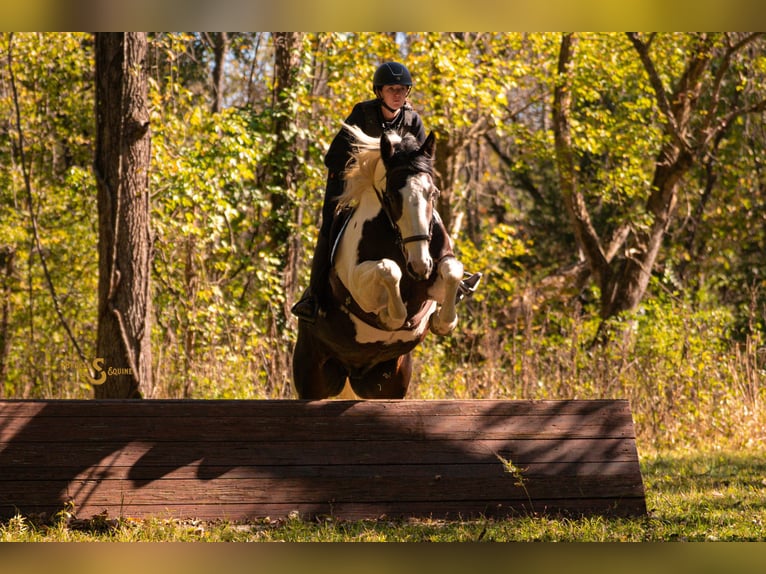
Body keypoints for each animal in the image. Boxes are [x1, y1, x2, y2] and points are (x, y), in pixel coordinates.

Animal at [292, 124, 465, 399]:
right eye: (393, 196)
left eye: (433, 193)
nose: (420, 266)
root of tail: (352, 372)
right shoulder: (358, 283)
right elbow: (389, 270)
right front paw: (390, 318)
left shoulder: (433, 278)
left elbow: (452, 270)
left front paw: (443, 322)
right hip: (313, 378)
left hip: (391, 384)